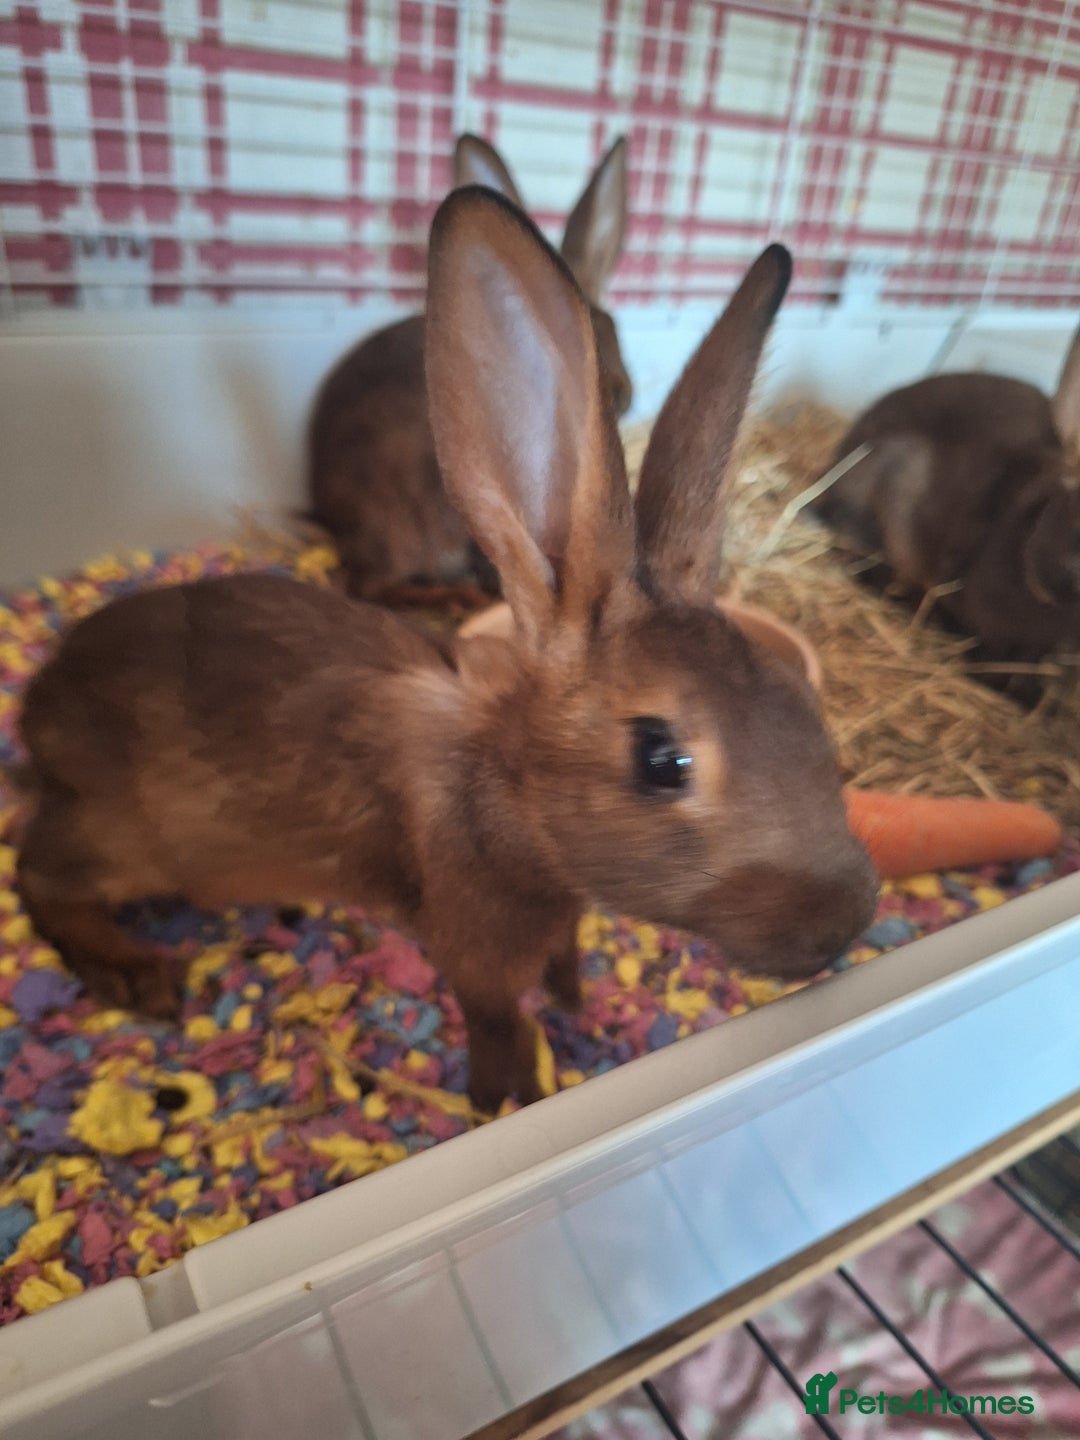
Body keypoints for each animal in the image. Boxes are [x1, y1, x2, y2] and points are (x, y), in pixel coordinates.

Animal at [17, 188, 877, 1113]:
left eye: (803, 700)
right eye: (662, 760)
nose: (842, 926)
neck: (507, 795)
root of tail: (38, 708)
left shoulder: (560, 920)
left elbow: (564, 965)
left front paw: (581, 1009)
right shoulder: (476, 952)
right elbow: (498, 1021)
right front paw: (511, 1097)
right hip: (123, 841)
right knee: (39, 878)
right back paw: (137, 975)